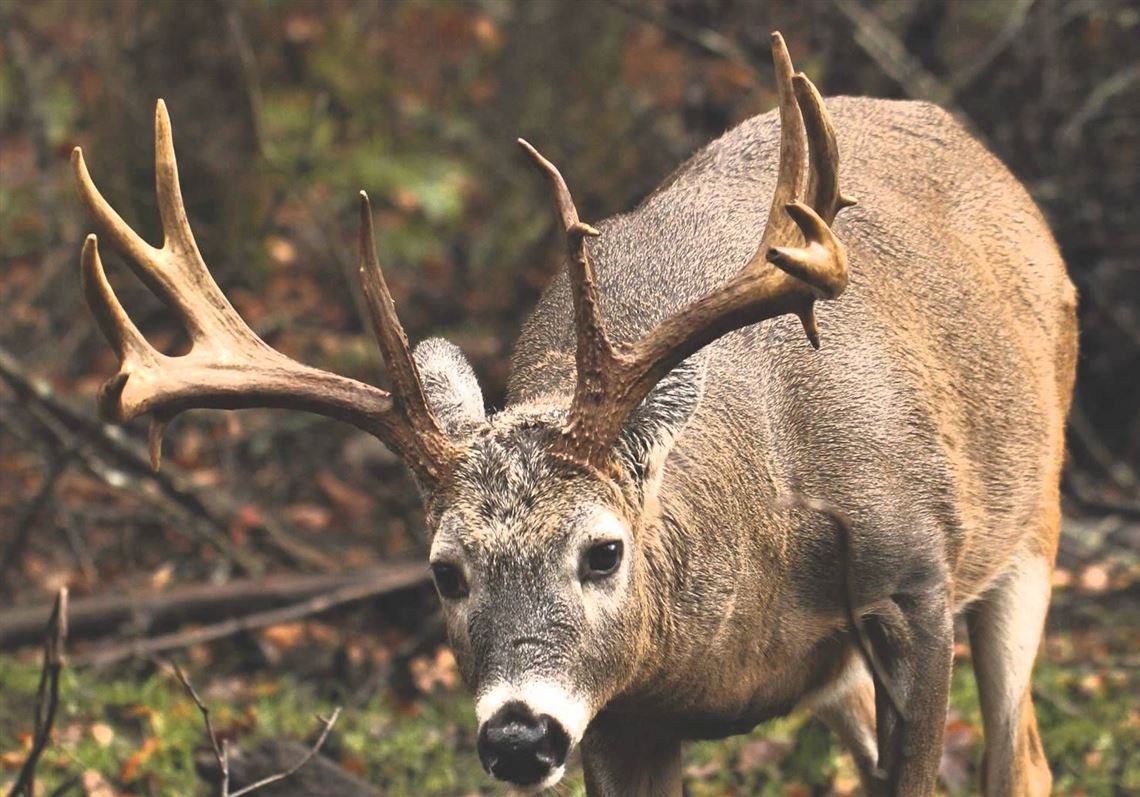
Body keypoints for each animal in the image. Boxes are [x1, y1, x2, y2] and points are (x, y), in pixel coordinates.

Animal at [73, 31, 1076, 797]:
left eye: (602, 549)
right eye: (444, 571)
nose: (520, 736)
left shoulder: (912, 583)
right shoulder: (625, 713)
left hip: (1032, 524)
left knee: (1022, 760)